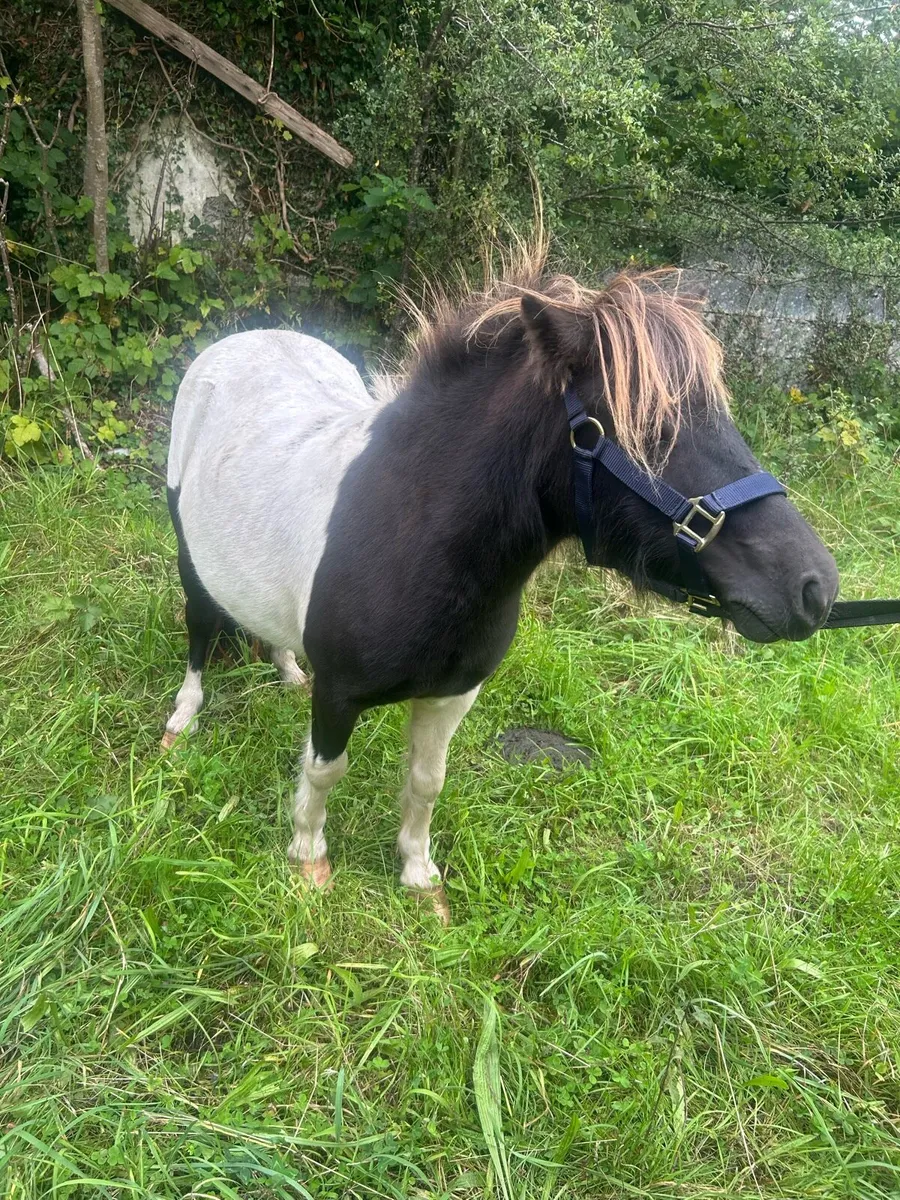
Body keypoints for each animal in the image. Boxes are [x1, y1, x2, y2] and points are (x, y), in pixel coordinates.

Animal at [163, 253, 838, 917]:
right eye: (651, 427)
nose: (816, 588)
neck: (411, 538)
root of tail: (243, 340)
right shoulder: (339, 693)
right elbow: (325, 771)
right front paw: (308, 859)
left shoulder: (452, 695)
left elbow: (426, 782)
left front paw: (419, 877)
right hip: (191, 561)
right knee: (200, 629)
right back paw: (182, 721)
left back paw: (286, 672)